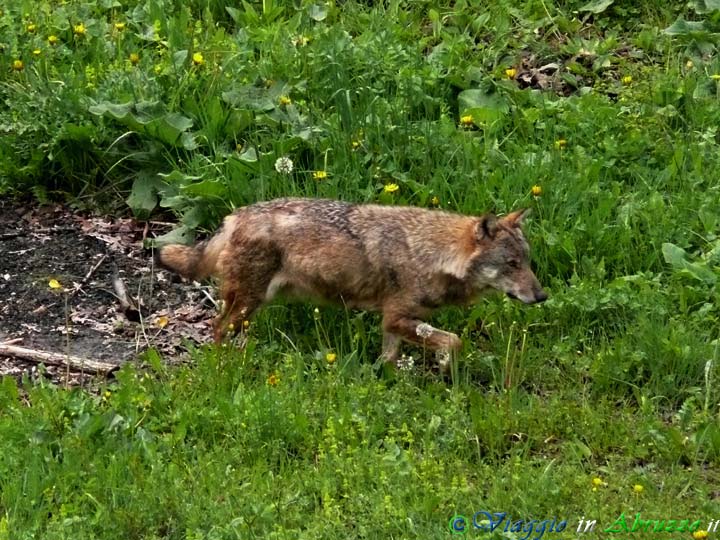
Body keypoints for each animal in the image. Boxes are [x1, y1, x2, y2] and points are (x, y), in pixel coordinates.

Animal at [156, 197, 544, 368]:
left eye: (527, 262)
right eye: (511, 265)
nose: (542, 296)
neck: (432, 253)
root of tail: (234, 216)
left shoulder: (392, 323)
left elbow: (388, 359)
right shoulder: (397, 318)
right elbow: (454, 341)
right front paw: (448, 372)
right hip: (247, 305)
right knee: (217, 329)